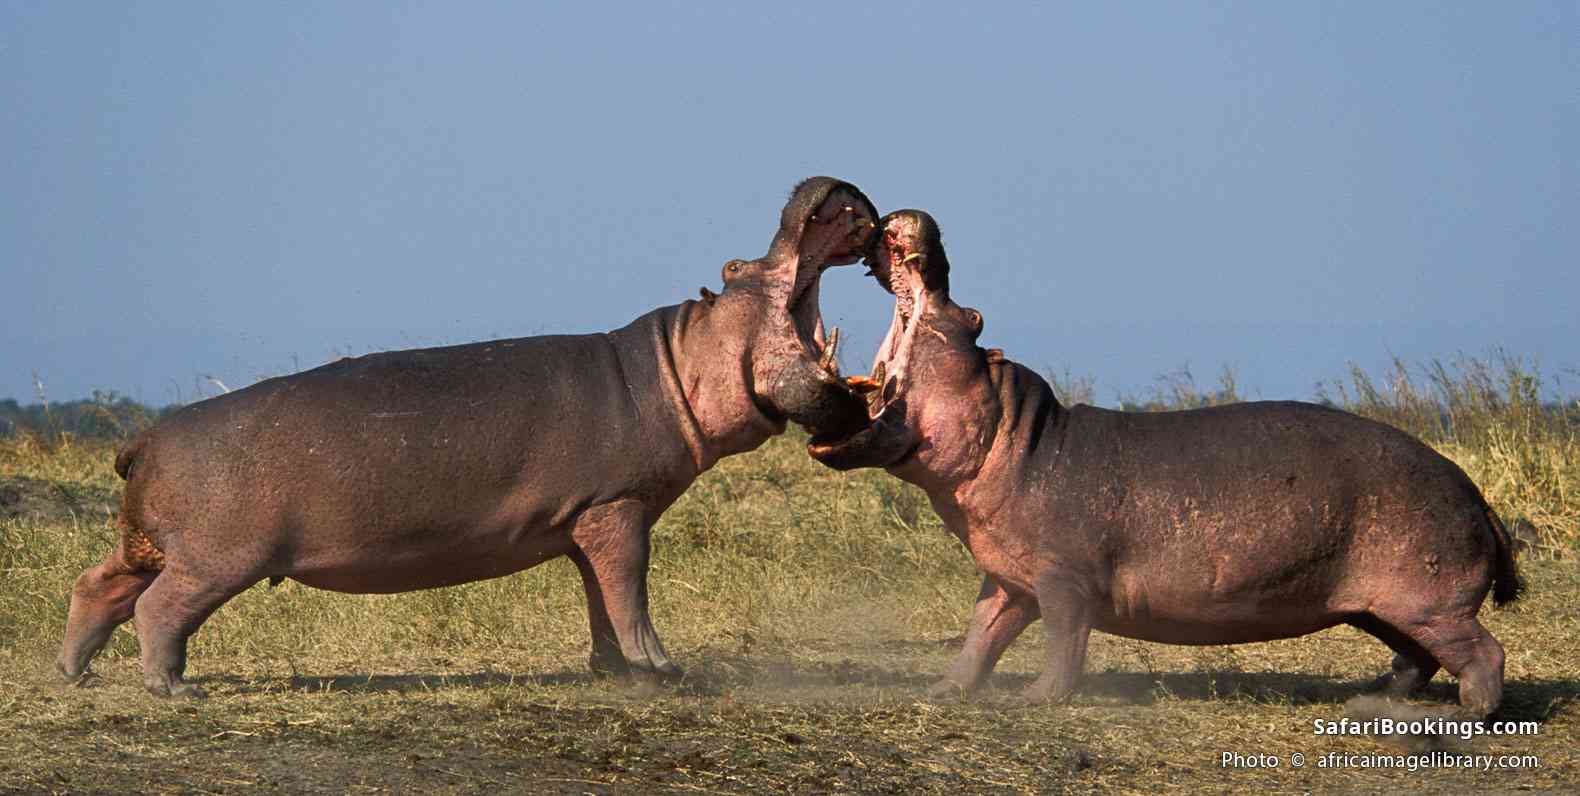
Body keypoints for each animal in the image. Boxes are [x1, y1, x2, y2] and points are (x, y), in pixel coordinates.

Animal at [59, 178, 878, 698]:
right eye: (738, 267)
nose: (825, 185)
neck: (679, 359)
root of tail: (144, 441)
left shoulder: (589, 520)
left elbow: (600, 597)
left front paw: (615, 672)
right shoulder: (617, 507)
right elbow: (631, 589)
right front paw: (667, 672)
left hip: (149, 543)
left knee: (98, 586)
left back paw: (75, 672)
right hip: (218, 558)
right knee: (159, 610)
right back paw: (173, 691)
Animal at [806, 209, 1523, 718]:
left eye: (973, 317)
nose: (920, 221)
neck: (1014, 434)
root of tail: (1474, 491)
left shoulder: (1063, 577)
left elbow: (1064, 638)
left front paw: (1037, 699)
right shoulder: (1009, 578)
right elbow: (982, 634)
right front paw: (944, 690)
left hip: (1426, 600)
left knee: (1483, 652)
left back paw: (1469, 715)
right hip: (1379, 605)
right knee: (1417, 659)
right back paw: (1368, 698)